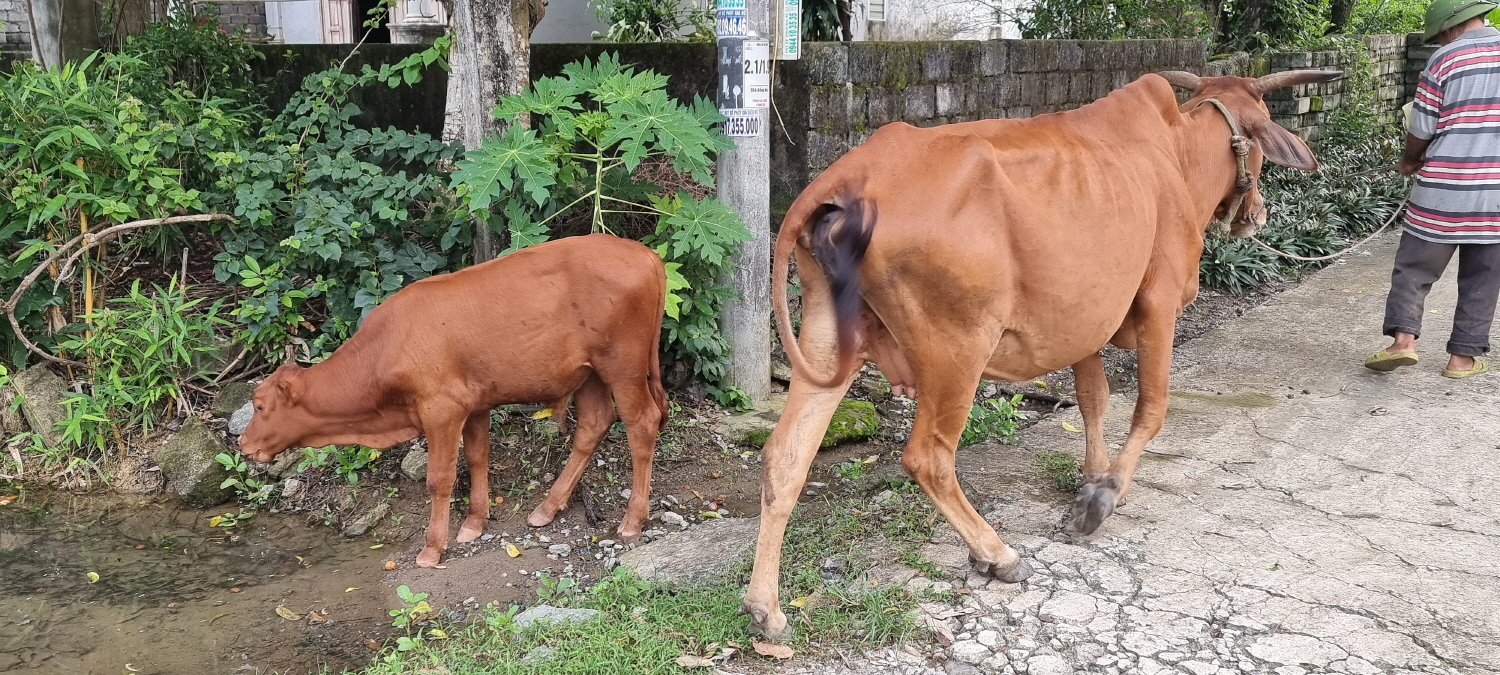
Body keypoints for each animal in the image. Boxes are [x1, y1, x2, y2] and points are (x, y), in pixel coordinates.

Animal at [240, 234, 669, 567]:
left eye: (259, 405)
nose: (243, 444)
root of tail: (644, 253)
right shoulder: (474, 403)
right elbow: (478, 457)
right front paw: (474, 524)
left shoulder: (441, 409)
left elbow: (440, 478)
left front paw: (432, 548)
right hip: (590, 372)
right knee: (594, 423)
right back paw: (547, 508)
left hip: (623, 365)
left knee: (642, 423)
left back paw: (633, 520)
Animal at [744, 71, 1344, 636]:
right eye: (1260, 141)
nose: (1257, 213)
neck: (1177, 154)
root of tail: (848, 177)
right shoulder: (1160, 303)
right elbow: (1151, 408)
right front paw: (1103, 497)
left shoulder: (1084, 324)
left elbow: (1094, 400)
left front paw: (1094, 479)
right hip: (957, 350)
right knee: (928, 458)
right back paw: (998, 554)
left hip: (827, 340)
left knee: (786, 457)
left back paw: (766, 608)